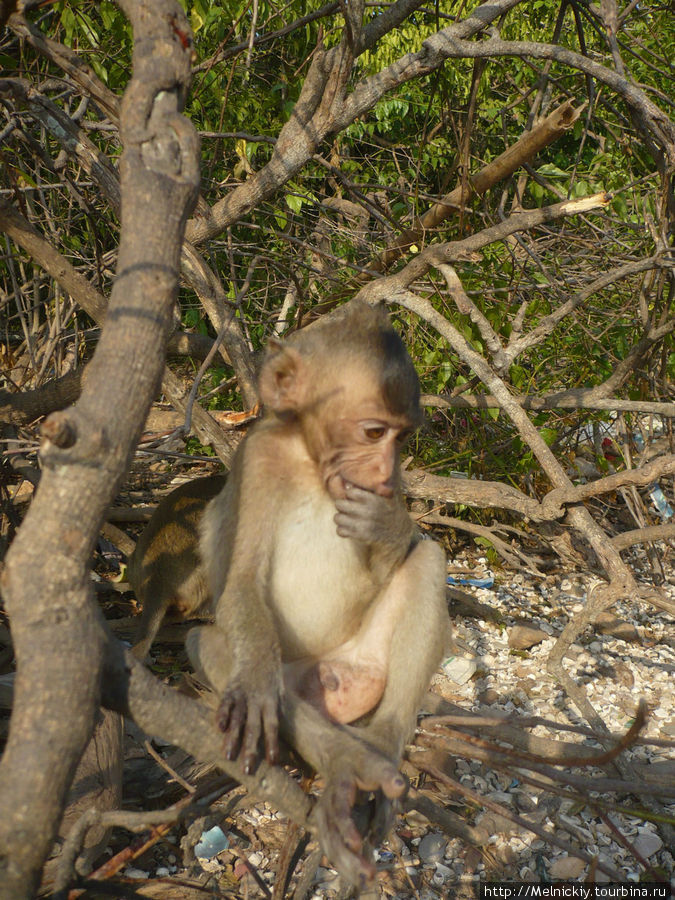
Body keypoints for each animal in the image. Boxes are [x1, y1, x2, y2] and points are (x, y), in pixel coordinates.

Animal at [130, 304, 452, 884]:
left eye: (399, 439)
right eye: (372, 431)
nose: (380, 470)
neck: (308, 460)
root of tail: (330, 674)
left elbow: (395, 556)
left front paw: (389, 525)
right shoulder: (258, 460)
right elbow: (240, 581)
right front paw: (257, 689)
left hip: (364, 655)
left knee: (428, 559)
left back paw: (382, 745)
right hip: (291, 673)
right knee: (209, 645)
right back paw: (343, 762)